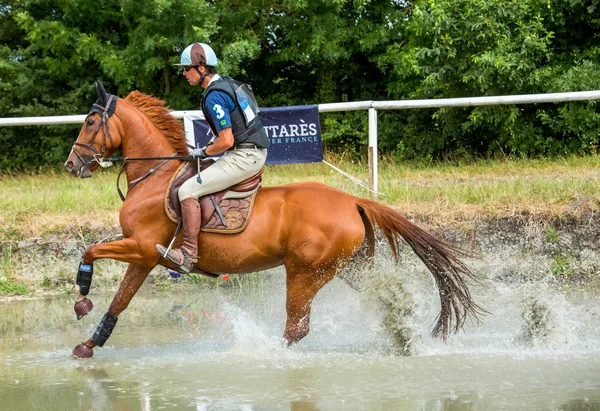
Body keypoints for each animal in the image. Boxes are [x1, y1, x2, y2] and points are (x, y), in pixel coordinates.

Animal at [63, 81, 486, 358]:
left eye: (90, 121)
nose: (71, 165)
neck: (153, 177)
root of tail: (352, 200)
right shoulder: (144, 257)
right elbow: (120, 300)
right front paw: (88, 344)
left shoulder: (141, 249)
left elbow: (91, 252)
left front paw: (82, 297)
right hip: (347, 267)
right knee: (382, 298)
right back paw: (405, 340)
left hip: (304, 272)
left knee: (296, 327)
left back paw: (266, 351)